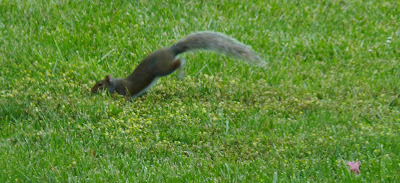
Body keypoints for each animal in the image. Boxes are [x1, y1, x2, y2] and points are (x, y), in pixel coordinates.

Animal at [91, 30, 266, 98]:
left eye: (100, 84)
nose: (91, 91)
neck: (114, 84)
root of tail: (171, 49)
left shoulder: (122, 92)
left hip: (162, 68)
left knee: (179, 61)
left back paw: (181, 70)